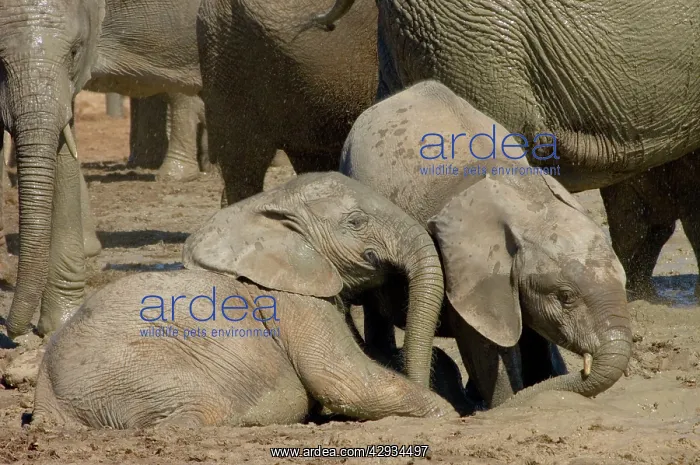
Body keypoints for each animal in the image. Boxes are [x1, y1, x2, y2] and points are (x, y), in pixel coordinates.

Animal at [31, 269, 458, 429]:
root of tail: (43, 398)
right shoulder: (298, 301)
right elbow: (344, 381)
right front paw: (452, 416)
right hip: (127, 370)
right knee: (199, 409)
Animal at [338, 80, 632, 407]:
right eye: (566, 296)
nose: (583, 369)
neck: (529, 204)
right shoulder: (467, 272)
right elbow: (485, 348)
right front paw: (503, 404)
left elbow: (531, 337)